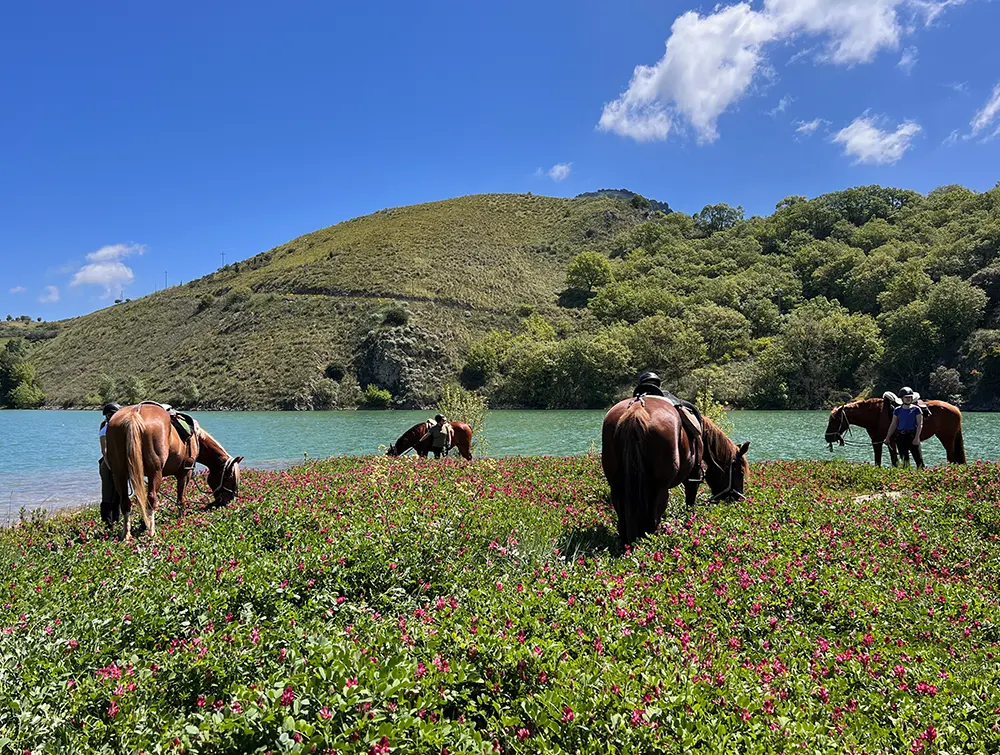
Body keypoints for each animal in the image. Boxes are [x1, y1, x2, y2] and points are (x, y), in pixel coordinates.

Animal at [106, 404, 244, 540]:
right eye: (230, 478)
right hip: (155, 473)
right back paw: (151, 532)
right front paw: (181, 519)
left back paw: (126, 534)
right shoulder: (185, 474)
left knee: (125, 502)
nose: (229, 501)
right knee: (151, 499)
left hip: (120, 474)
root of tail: (135, 413)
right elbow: (181, 499)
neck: (196, 438)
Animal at [600, 396, 752, 548]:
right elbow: (690, 503)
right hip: (660, 490)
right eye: (740, 472)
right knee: (653, 521)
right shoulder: (693, 477)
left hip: (617, 487)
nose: (738, 499)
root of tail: (636, 409)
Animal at [824, 396, 964, 466]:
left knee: (951, 457)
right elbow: (886, 461)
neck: (877, 414)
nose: (827, 437)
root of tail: (955, 408)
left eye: (835, 420)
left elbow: (887, 461)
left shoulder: (886, 441)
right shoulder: (882, 441)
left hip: (947, 438)